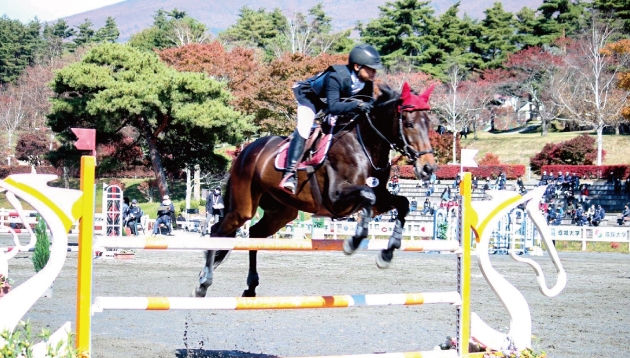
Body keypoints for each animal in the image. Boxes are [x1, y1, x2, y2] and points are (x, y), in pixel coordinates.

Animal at [195, 83, 436, 296]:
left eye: (430, 124)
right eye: (409, 124)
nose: (428, 168)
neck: (364, 145)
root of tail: (246, 151)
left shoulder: (379, 199)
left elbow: (402, 203)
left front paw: (387, 253)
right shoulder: (337, 198)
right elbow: (367, 196)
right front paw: (353, 242)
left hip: (282, 211)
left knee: (254, 234)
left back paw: (251, 287)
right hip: (243, 208)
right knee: (217, 231)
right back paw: (204, 282)